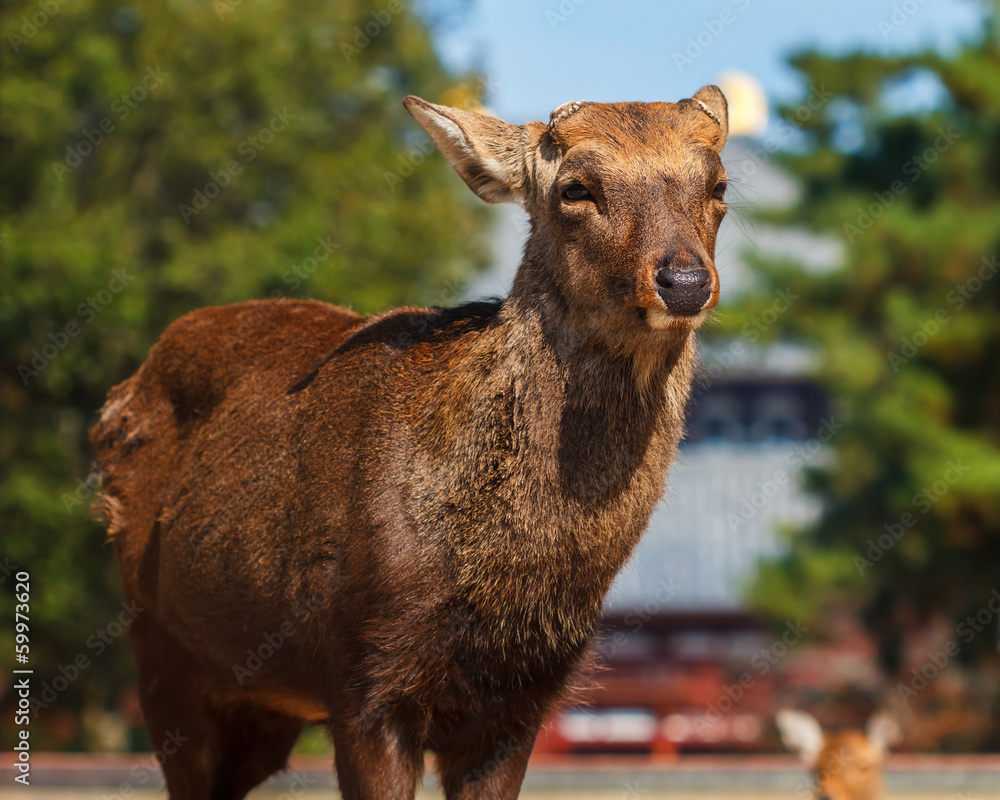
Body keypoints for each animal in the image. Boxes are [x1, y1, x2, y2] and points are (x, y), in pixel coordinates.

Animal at [91, 86, 730, 800]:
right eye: (576, 188)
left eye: (719, 185)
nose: (684, 281)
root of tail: (120, 395)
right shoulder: (363, 678)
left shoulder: (520, 703)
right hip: (162, 649)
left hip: (259, 701)